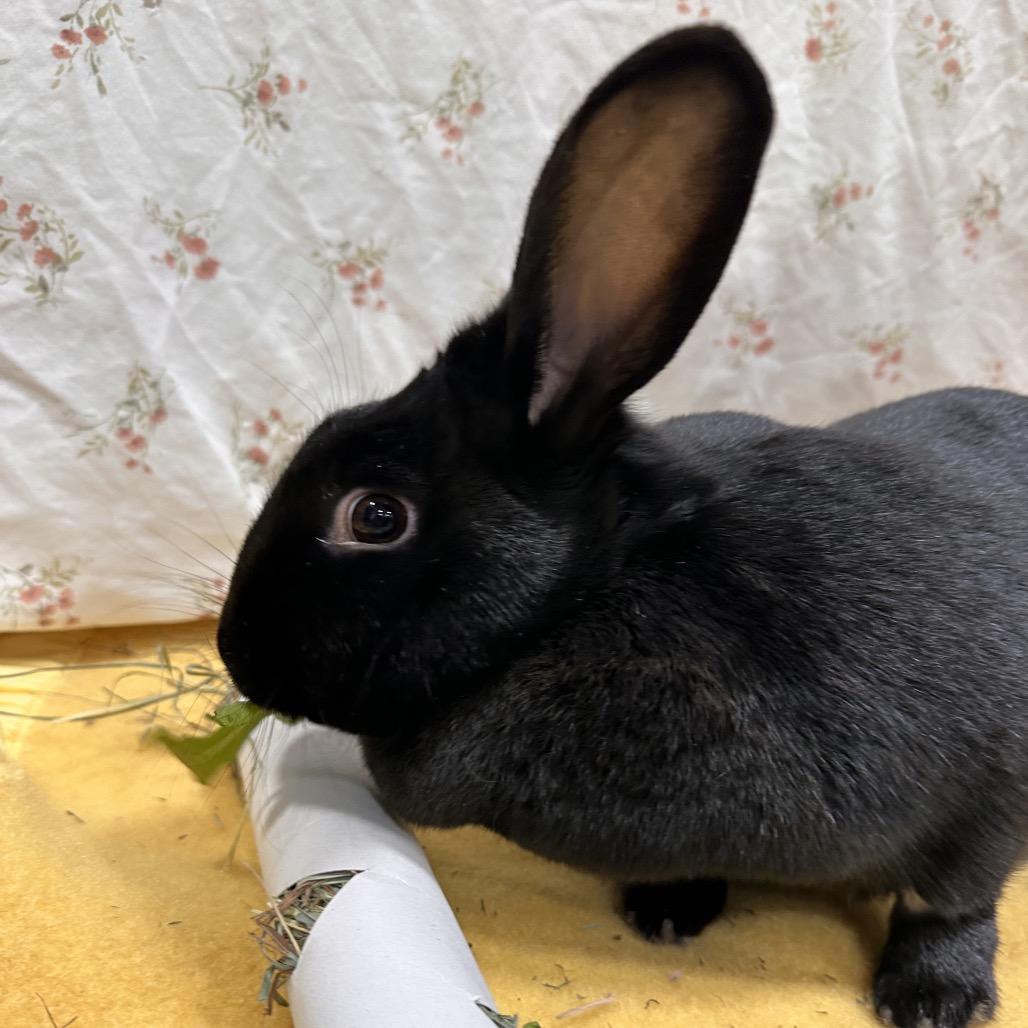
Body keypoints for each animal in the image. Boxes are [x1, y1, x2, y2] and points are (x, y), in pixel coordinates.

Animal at [217, 26, 1028, 1028]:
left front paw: (934, 996)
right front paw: (669, 910)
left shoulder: (985, 789)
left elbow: (950, 897)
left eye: (375, 515)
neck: (591, 594)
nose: (233, 654)